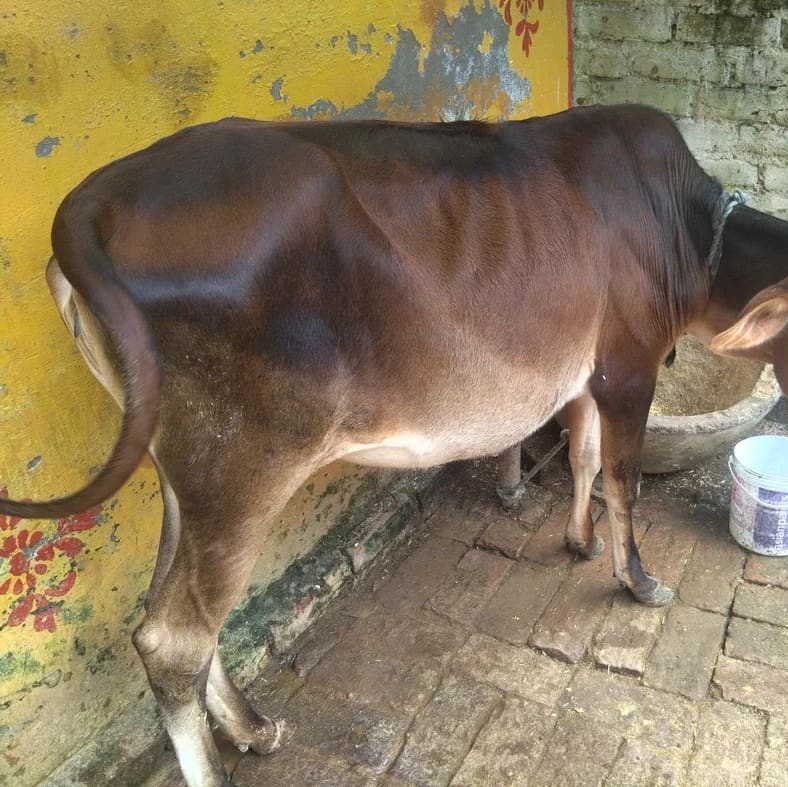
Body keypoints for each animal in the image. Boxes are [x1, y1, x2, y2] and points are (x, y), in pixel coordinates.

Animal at [1, 104, 787, 786]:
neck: (689, 234)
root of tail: (95, 200)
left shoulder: (591, 372)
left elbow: (584, 458)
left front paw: (579, 540)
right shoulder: (629, 363)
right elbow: (623, 477)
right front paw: (639, 580)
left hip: (180, 468)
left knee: (168, 604)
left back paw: (253, 727)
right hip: (240, 465)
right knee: (173, 638)